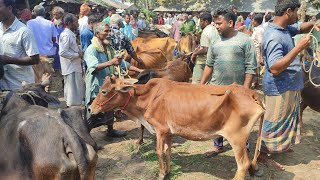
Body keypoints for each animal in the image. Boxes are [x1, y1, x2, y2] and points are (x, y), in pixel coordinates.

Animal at [90, 77, 264, 180]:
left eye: (104, 91)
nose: (90, 108)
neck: (149, 97)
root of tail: (252, 93)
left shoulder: (160, 129)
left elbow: (159, 152)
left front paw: (161, 174)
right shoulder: (169, 132)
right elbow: (168, 151)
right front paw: (167, 171)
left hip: (237, 139)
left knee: (243, 165)